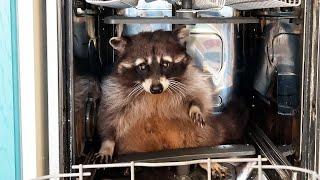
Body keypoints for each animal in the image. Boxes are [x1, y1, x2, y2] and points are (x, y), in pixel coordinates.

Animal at [96, 27, 229, 160]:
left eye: (165, 64)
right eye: (142, 66)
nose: (156, 89)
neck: (154, 95)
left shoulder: (190, 77)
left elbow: (199, 93)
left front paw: (196, 107)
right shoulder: (115, 92)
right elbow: (109, 116)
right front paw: (107, 144)